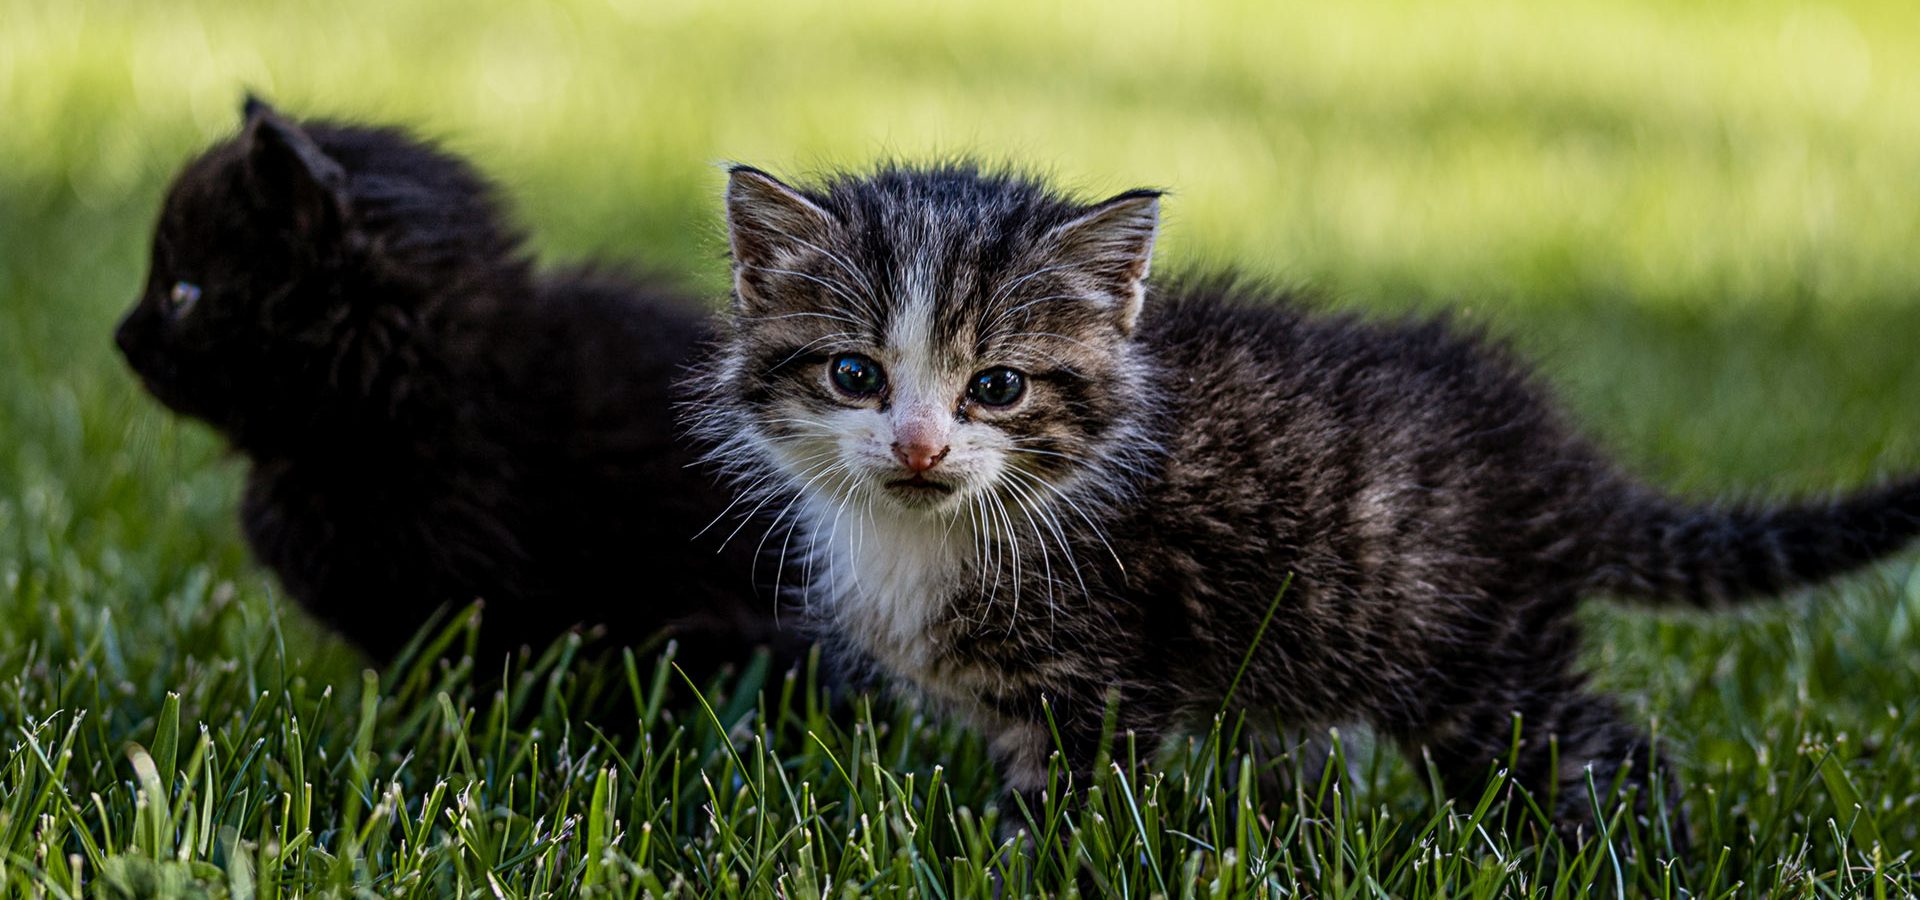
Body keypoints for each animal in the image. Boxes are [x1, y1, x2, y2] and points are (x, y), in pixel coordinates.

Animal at [691, 159, 1920, 836]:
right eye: (855, 374)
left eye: (996, 387)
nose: (918, 445)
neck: (930, 533)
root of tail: (1553, 462)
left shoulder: (1103, 678)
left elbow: (1068, 814)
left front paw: (1036, 865)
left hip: (1470, 656)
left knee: (1603, 753)